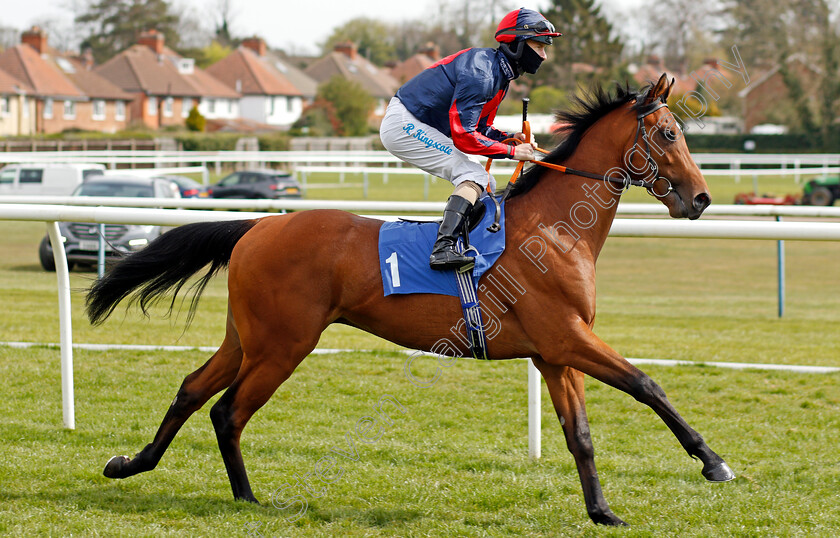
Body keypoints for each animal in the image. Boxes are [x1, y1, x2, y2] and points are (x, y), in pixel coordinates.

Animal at [87, 73, 736, 524]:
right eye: (669, 133)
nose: (701, 198)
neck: (555, 229)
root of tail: (257, 226)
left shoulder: (555, 353)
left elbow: (580, 435)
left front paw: (601, 511)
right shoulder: (567, 337)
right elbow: (648, 385)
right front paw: (713, 462)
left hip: (247, 338)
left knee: (193, 389)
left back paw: (131, 464)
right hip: (283, 345)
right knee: (228, 411)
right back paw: (247, 497)